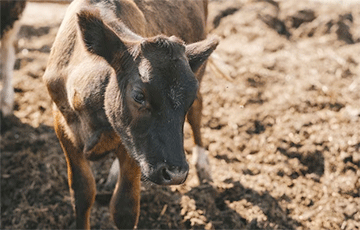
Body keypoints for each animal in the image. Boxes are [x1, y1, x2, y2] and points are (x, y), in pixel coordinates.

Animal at [42, 0, 217, 228]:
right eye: (139, 95)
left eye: (189, 97)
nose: (176, 174)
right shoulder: (63, 128)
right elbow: (82, 194)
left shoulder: (134, 148)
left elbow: (124, 208)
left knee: (197, 112)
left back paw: (203, 164)